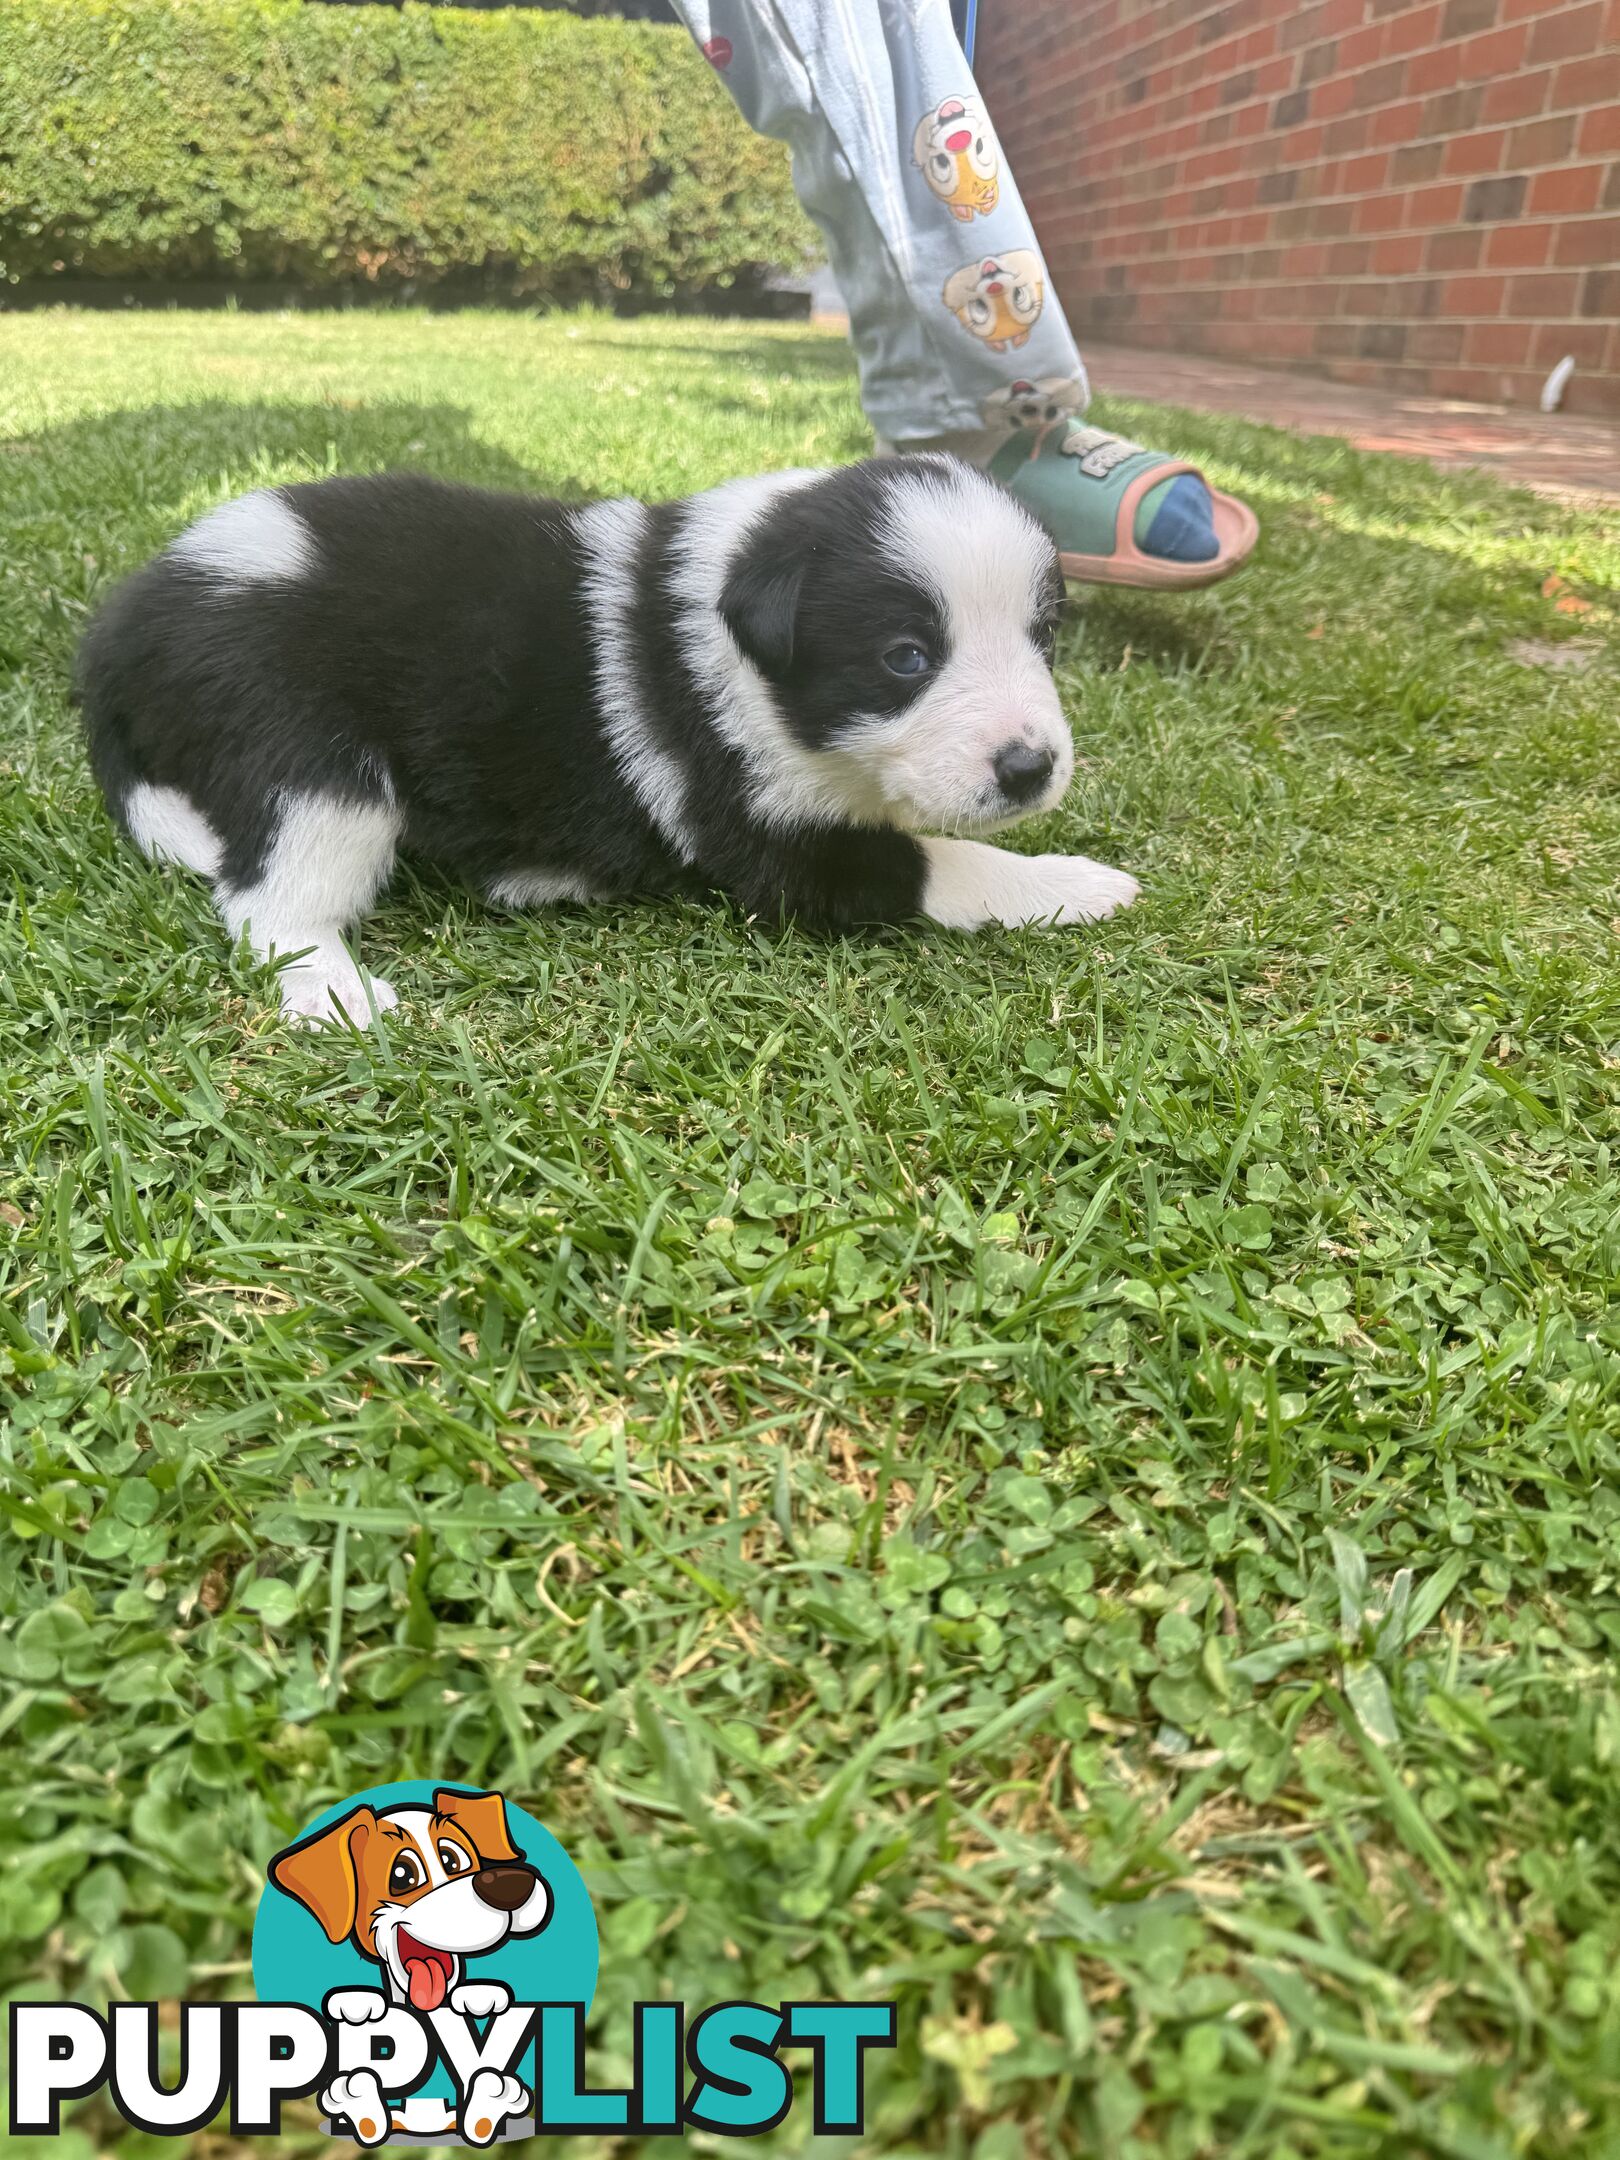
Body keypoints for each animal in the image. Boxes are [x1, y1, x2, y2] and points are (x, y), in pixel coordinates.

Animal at [76, 453, 1140, 1019]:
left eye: (1043, 636)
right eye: (907, 658)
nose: (1031, 769)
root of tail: (125, 629)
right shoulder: (771, 832)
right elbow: (946, 863)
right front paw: (1079, 883)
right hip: (309, 757)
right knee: (267, 904)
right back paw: (340, 997)